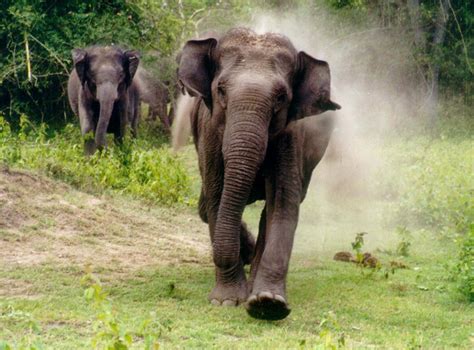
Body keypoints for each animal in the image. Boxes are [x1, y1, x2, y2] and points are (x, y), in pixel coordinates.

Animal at [175, 28, 340, 322]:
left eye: (281, 98)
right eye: (221, 90)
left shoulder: (290, 137)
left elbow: (284, 204)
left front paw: (268, 304)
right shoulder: (209, 133)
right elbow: (217, 198)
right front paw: (227, 301)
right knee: (206, 205)